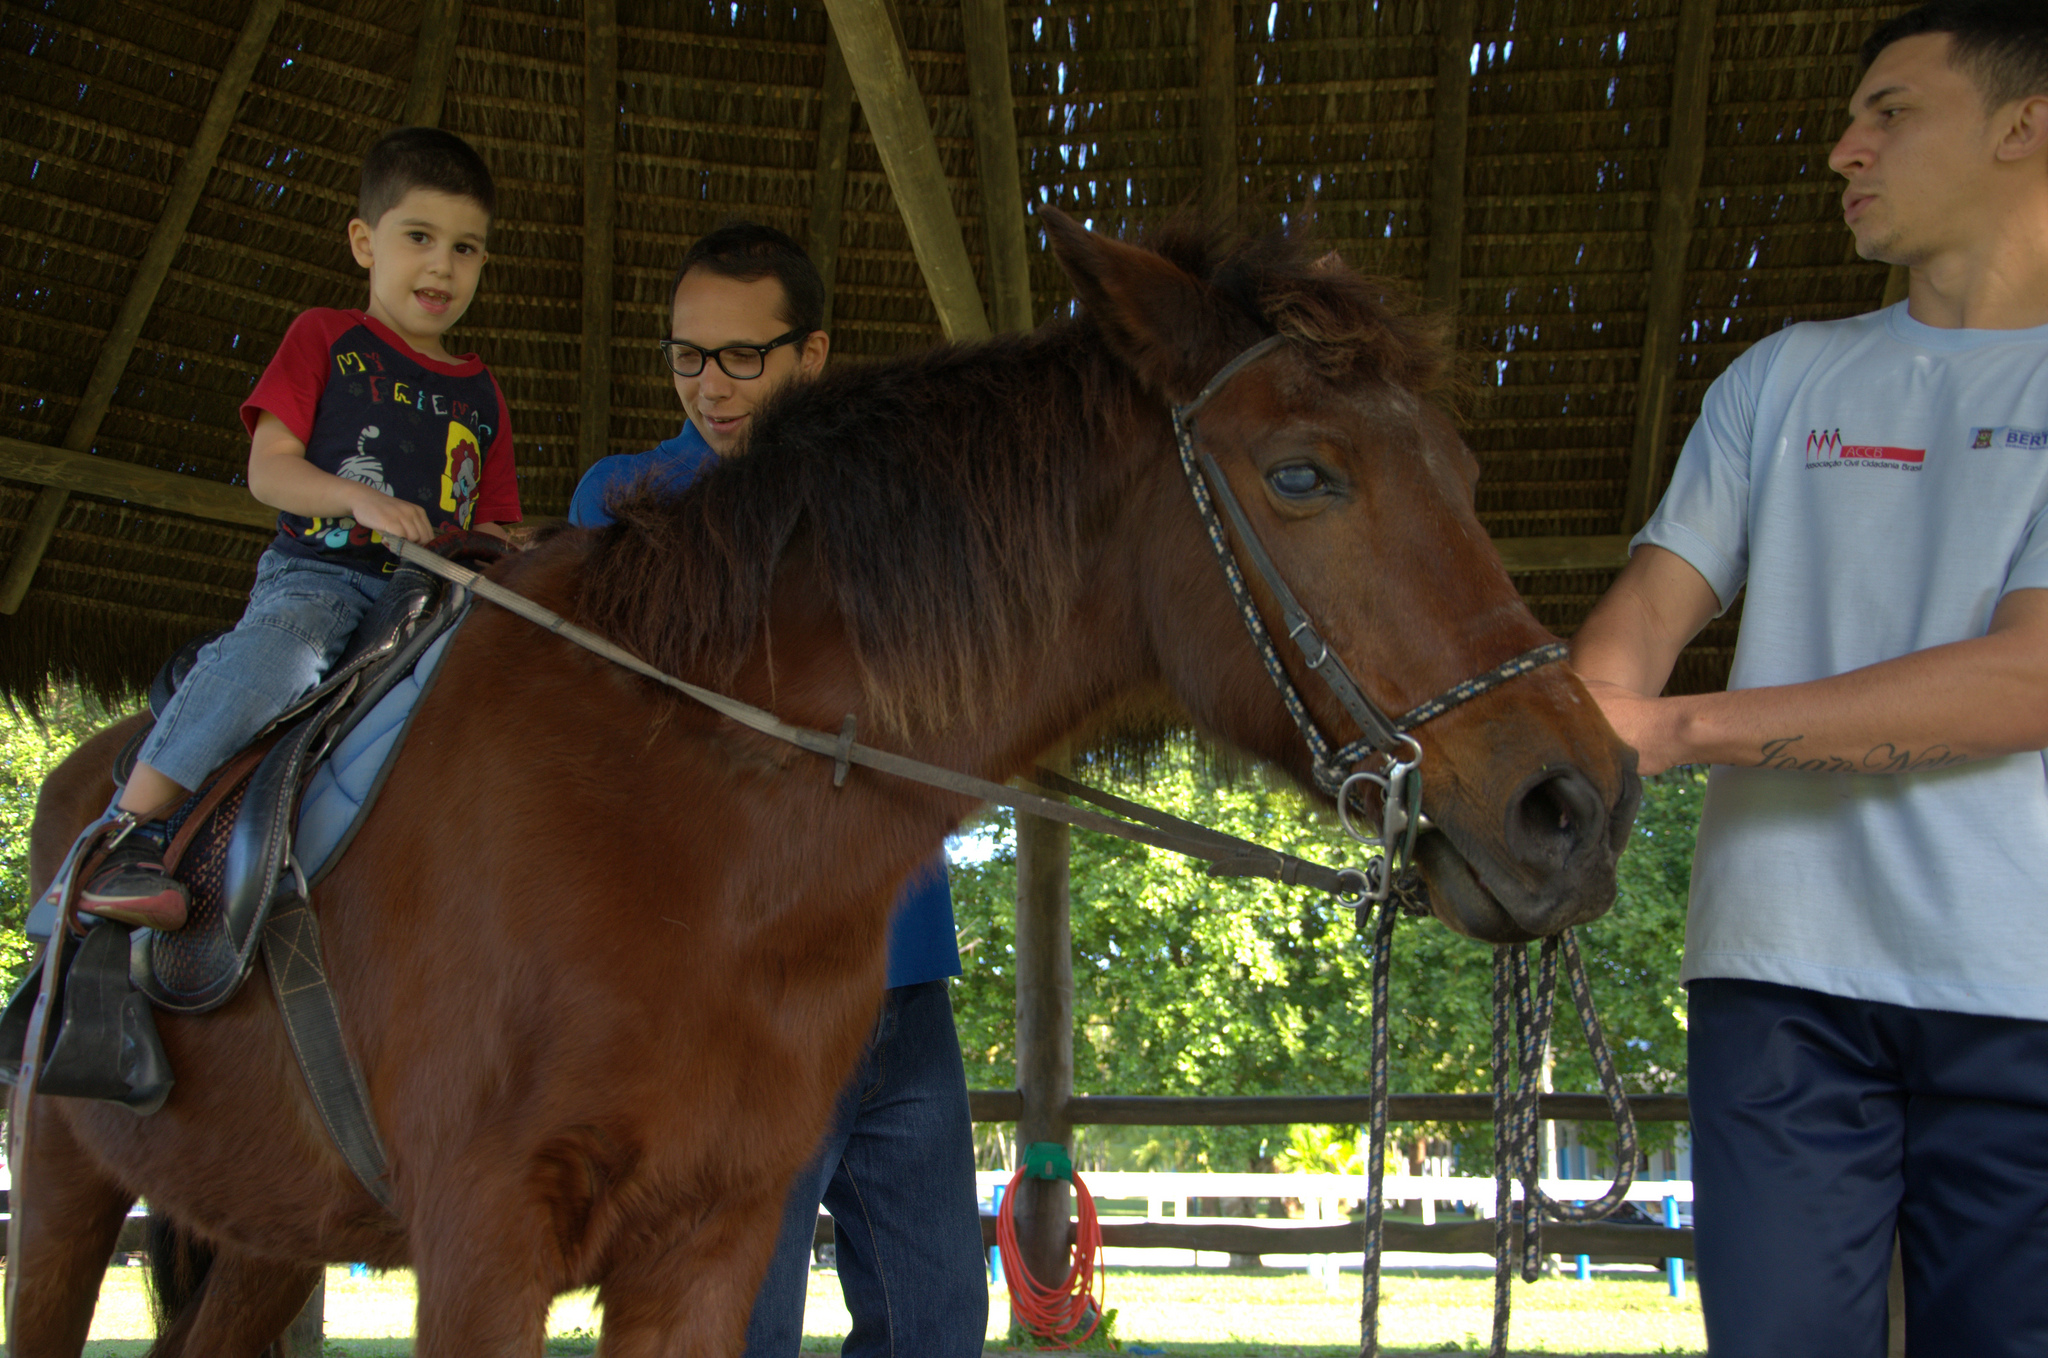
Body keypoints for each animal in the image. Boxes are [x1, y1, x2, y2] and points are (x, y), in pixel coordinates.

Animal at [8, 215, 1638, 1358]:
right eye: (1302, 472)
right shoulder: (482, 1245)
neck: (686, 806)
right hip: (64, 1187)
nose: (1580, 803)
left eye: (1464, 475)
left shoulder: (707, 1246)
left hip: (268, 1225)